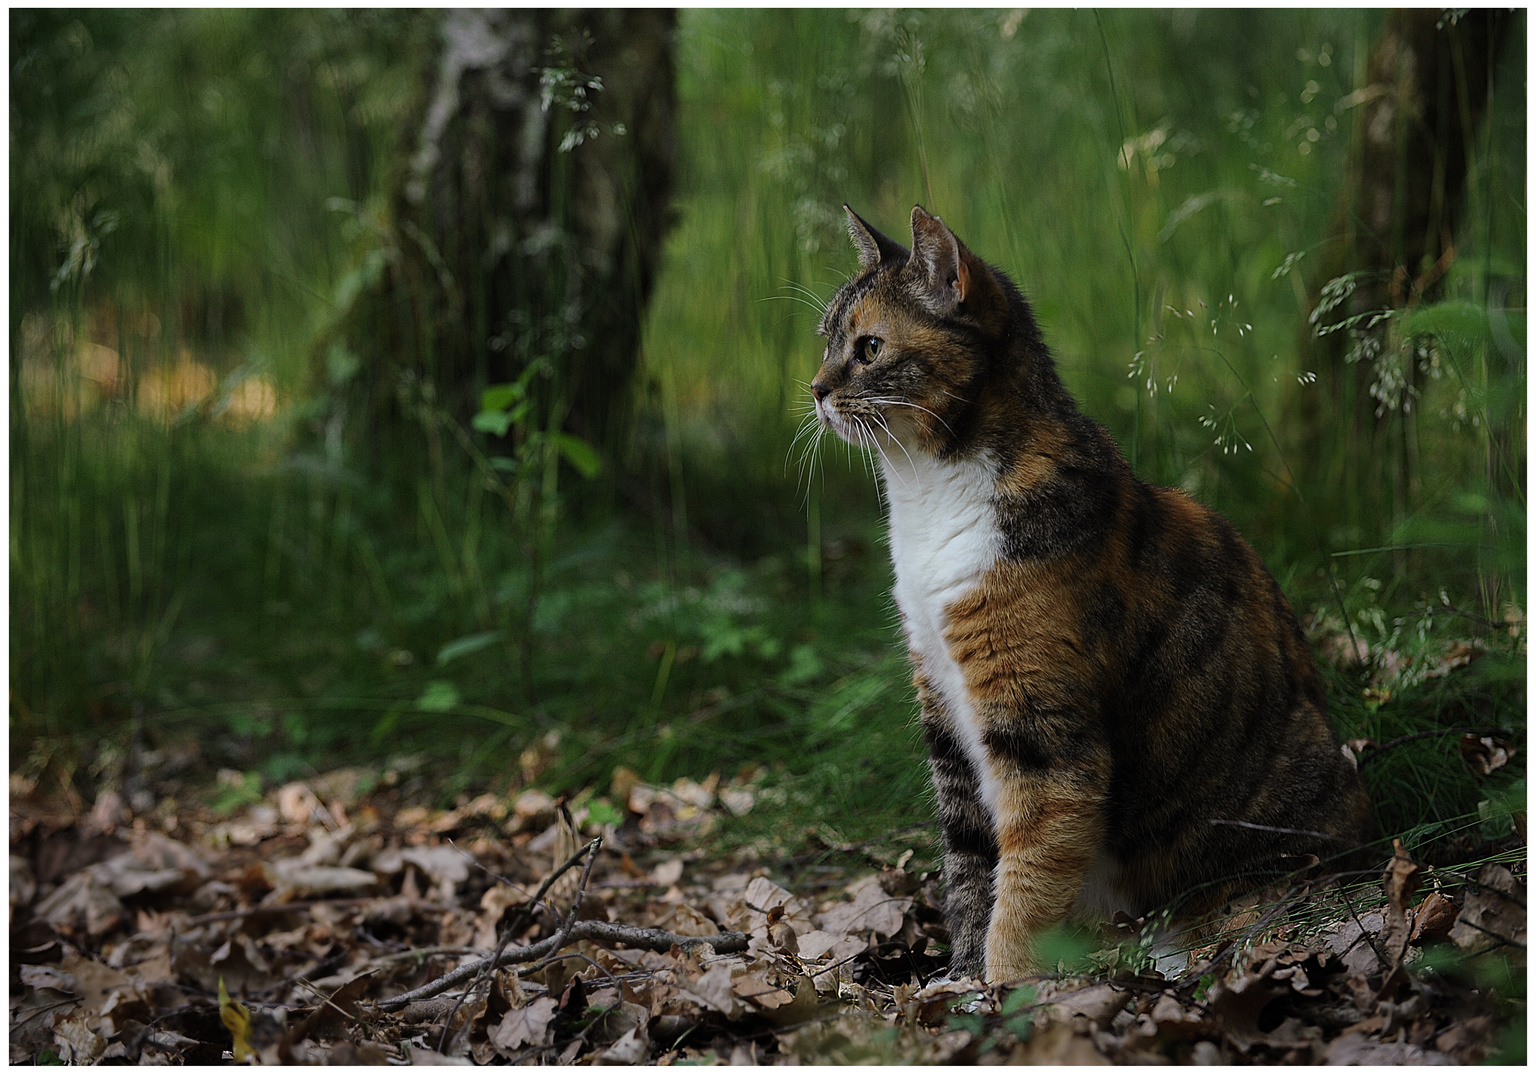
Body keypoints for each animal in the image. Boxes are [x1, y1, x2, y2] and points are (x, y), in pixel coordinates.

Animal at [811, 207, 1376, 983]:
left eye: (869, 347)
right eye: (827, 341)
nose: (814, 389)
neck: (926, 495)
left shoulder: (1040, 731)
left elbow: (1028, 870)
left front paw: (1005, 984)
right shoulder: (943, 705)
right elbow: (968, 862)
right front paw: (962, 975)